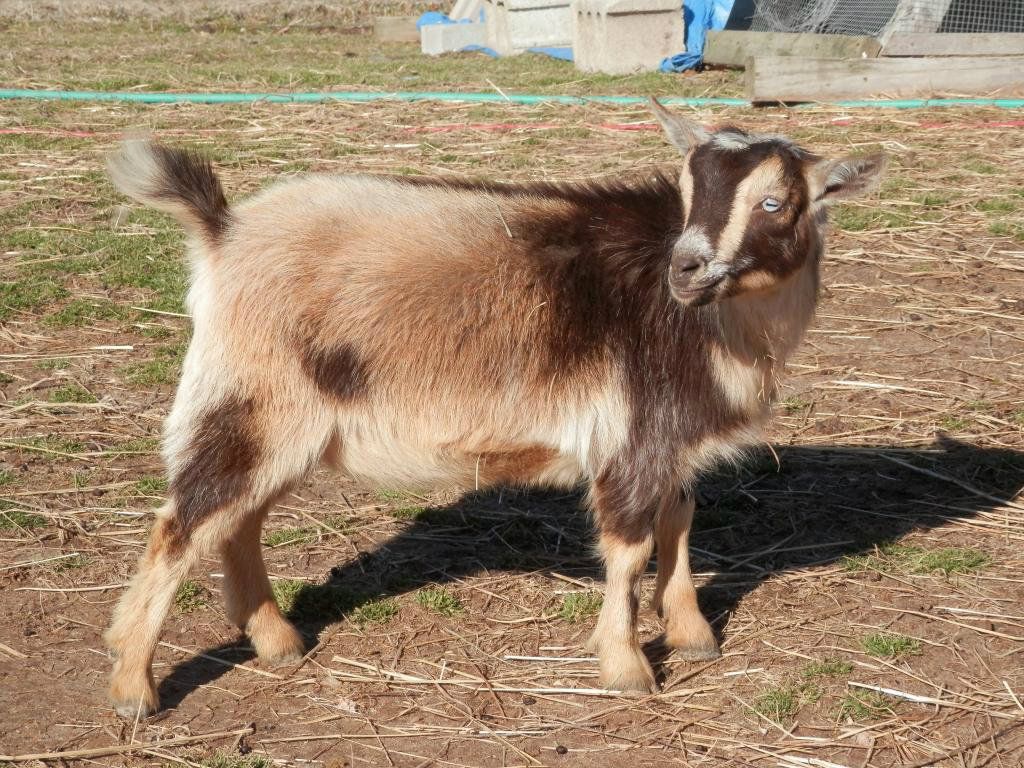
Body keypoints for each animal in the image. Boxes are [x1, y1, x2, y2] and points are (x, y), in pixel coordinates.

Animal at [103, 100, 885, 716]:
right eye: (690, 188)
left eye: (776, 202)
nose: (685, 267)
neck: (718, 324)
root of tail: (224, 230)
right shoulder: (631, 434)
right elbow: (630, 548)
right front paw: (627, 667)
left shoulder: (670, 441)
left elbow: (679, 522)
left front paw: (693, 636)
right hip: (255, 400)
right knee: (181, 525)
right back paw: (134, 686)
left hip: (289, 422)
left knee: (237, 521)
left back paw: (277, 642)